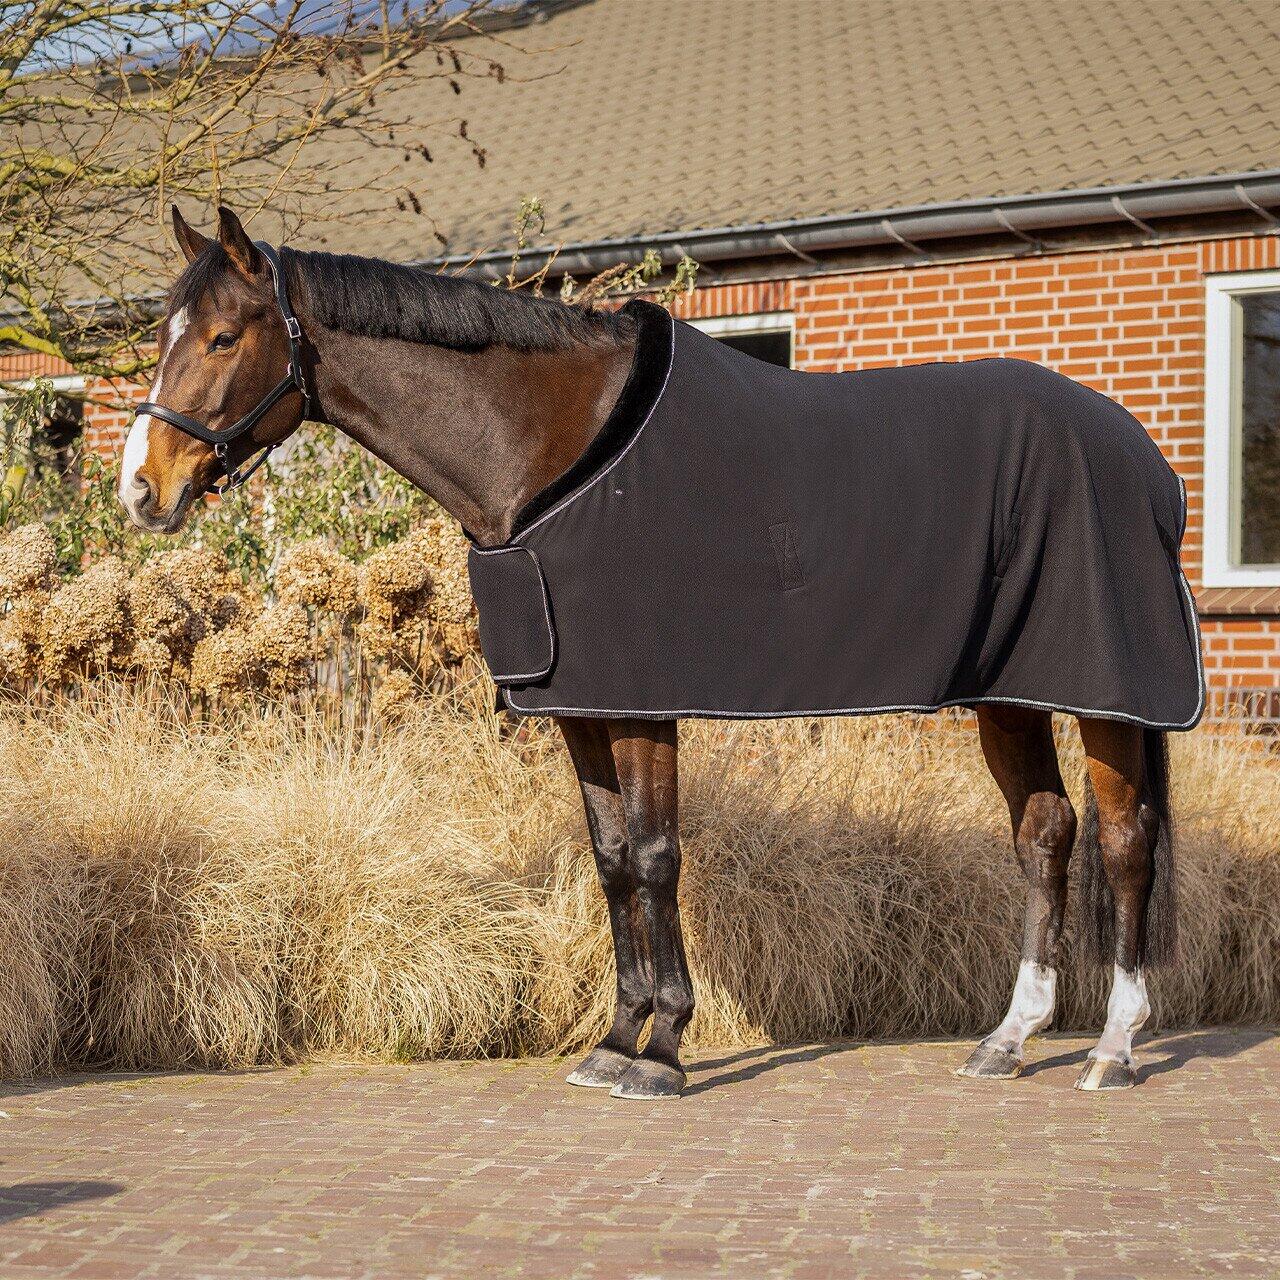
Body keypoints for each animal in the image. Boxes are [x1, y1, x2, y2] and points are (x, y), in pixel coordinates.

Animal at [120, 205, 1196, 1099]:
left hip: (1106, 694)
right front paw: (616, 1036)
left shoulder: (641, 700)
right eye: (163, 334)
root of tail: (1142, 458)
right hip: (1009, 689)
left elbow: (654, 853)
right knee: (1044, 834)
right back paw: (1008, 1038)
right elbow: (609, 861)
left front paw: (666, 1047)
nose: (140, 488)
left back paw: (1111, 1047)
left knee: (1121, 840)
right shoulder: (581, 703)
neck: (552, 449)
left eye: (224, 337)